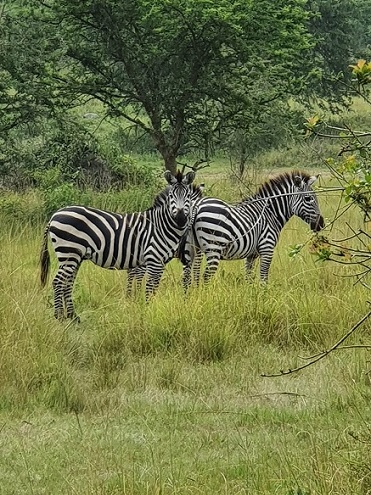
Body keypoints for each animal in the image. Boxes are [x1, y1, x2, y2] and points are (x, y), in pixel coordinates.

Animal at [40, 171, 198, 322]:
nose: (180, 219)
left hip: (74, 256)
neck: (161, 225)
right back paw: (59, 317)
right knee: (58, 282)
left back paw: (73, 316)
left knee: (67, 283)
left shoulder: (158, 263)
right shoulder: (153, 260)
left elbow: (152, 287)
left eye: (188, 196)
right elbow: (149, 287)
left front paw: (148, 308)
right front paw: (148, 310)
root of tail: (55, 215)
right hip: (68, 253)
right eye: (171, 196)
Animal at [180, 170, 326, 288]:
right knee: (206, 276)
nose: (321, 224)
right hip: (213, 248)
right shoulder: (267, 248)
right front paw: (264, 297)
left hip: (193, 247)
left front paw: (251, 298)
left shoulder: (251, 254)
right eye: (308, 198)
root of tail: (196, 205)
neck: (271, 213)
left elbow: (249, 277)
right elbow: (263, 278)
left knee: (189, 274)